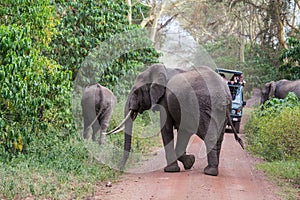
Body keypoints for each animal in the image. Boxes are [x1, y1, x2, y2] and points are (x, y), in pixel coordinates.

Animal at [110, 64, 241, 177]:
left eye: (136, 91)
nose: (120, 170)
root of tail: (224, 92)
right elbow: (183, 131)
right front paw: (190, 162)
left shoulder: (165, 102)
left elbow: (166, 128)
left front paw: (171, 170)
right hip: (222, 111)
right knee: (219, 138)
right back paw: (212, 169)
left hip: (203, 105)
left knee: (210, 136)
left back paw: (210, 172)